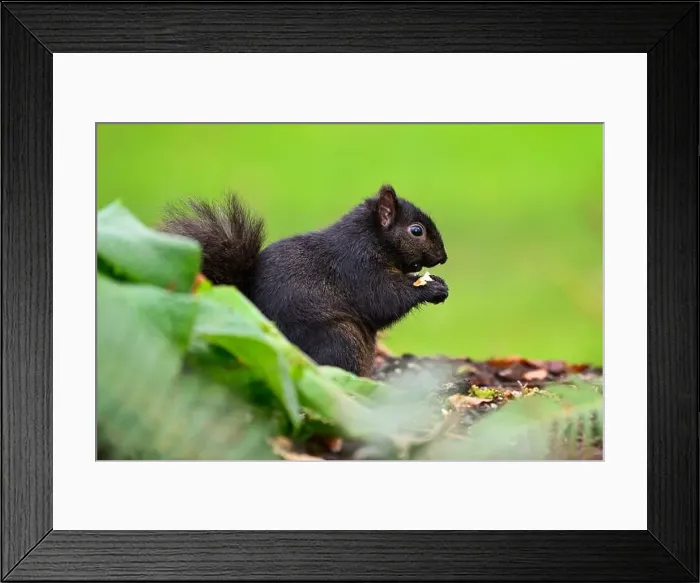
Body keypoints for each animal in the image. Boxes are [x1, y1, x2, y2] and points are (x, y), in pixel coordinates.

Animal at [160, 184, 449, 377]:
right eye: (416, 231)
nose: (443, 257)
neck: (370, 239)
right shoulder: (357, 268)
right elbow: (383, 300)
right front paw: (432, 288)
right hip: (340, 340)